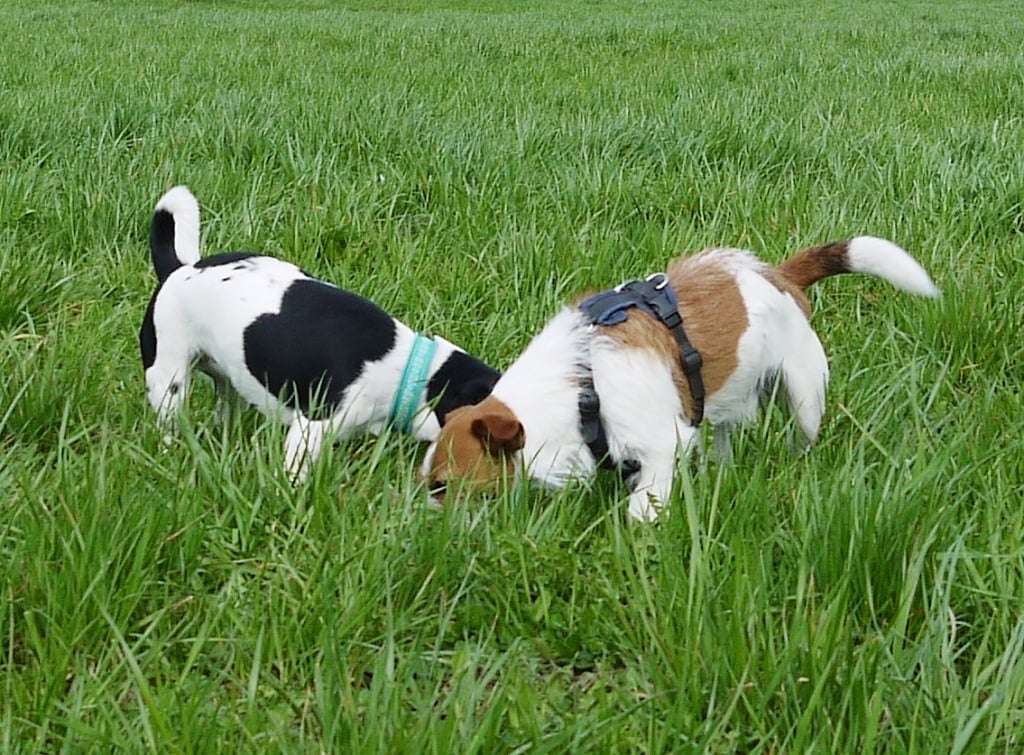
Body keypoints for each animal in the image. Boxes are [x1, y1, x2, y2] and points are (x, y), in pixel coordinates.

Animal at [139, 186, 499, 480]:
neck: (411, 371)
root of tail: (178, 270)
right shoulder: (311, 428)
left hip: (228, 381)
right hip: (168, 378)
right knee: (168, 419)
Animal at [421, 236, 939, 521]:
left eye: (443, 486)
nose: (424, 532)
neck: (582, 388)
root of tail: (778, 274)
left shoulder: (659, 447)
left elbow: (645, 503)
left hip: (805, 396)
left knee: (803, 433)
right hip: (720, 407)